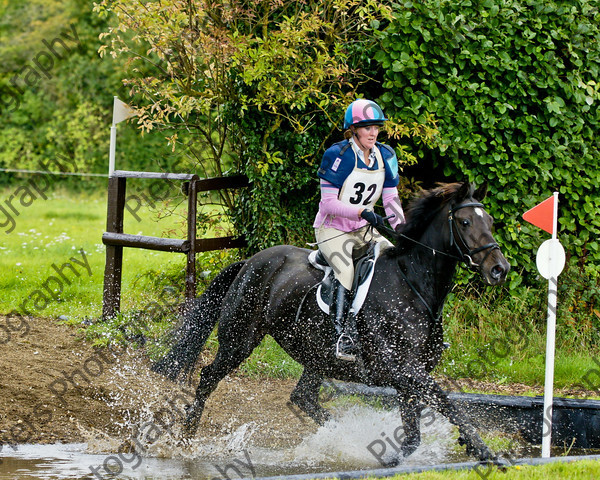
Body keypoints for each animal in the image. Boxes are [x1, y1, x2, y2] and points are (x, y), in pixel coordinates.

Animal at [152, 182, 508, 464]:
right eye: (464, 222)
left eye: (489, 221)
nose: (499, 269)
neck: (412, 285)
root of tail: (250, 261)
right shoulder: (406, 372)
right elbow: (450, 407)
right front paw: (487, 454)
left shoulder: (409, 378)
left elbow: (414, 432)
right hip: (239, 340)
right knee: (209, 377)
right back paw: (186, 439)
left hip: (317, 355)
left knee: (303, 397)